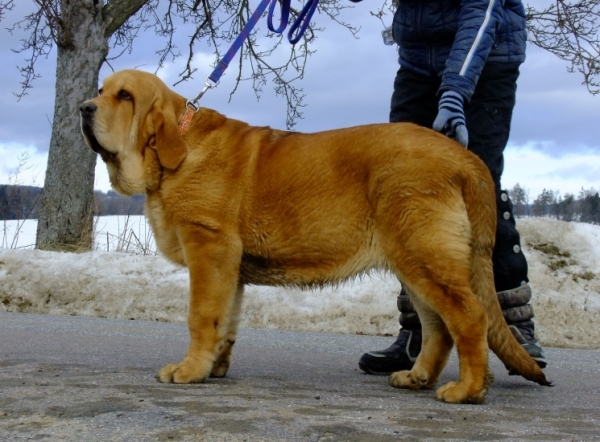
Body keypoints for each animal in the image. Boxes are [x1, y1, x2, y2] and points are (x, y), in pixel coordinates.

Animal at [82, 70, 552, 404]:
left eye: (125, 97)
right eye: (101, 90)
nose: (83, 107)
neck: (173, 149)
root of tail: (466, 158)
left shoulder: (209, 249)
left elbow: (201, 316)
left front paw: (189, 371)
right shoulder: (229, 269)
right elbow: (225, 322)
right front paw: (213, 367)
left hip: (426, 256)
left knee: (469, 319)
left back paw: (468, 391)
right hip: (416, 264)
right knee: (439, 326)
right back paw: (417, 376)